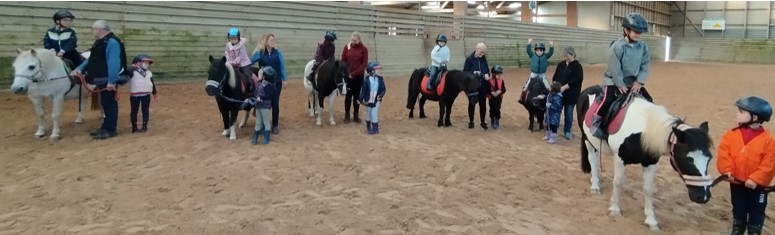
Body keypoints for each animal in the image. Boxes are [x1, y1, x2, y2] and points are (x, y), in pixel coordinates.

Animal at [576, 84, 716, 229]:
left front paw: (651, 220)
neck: (642, 131)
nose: (703, 197)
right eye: (688, 159)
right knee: (592, 159)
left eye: (710, 158)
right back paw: (595, 186)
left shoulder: (650, 163)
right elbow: (618, 182)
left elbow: (648, 190)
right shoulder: (619, 158)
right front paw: (614, 209)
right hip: (587, 139)